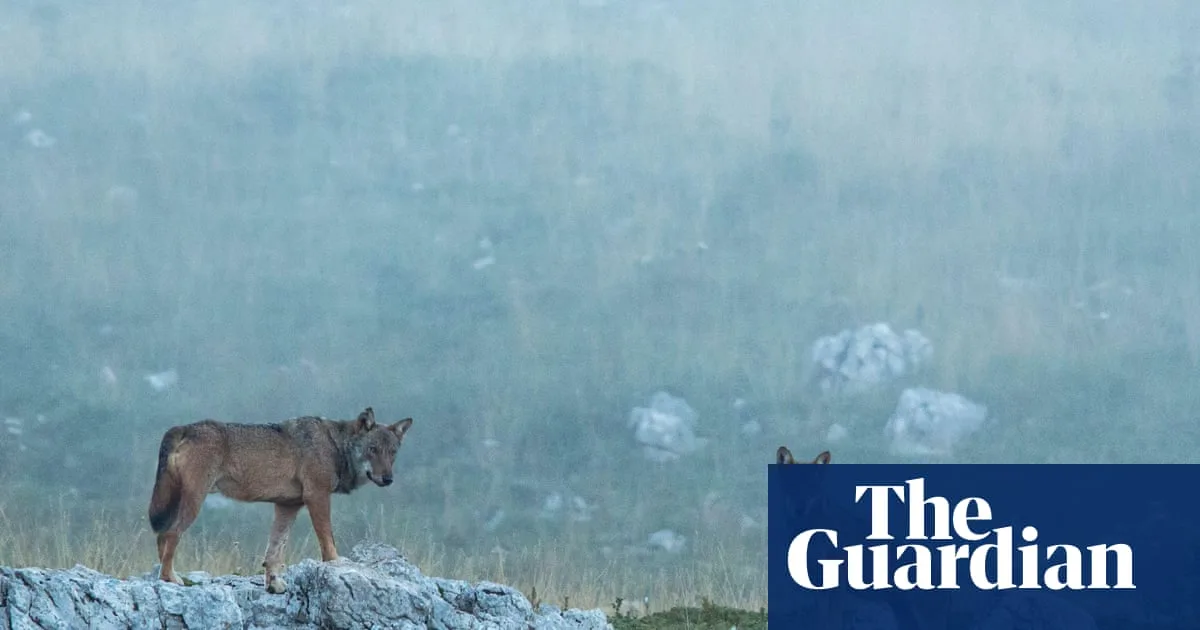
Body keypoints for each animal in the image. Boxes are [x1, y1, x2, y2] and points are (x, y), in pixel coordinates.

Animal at [147, 406, 413, 593]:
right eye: (373, 449)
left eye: (392, 453)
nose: (388, 479)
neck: (335, 445)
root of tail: (184, 427)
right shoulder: (317, 496)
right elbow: (328, 541)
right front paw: (336, 564)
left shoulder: (288, 506)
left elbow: (274, 552)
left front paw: (274, 585)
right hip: (195, 501)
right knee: (170, 534)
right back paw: (170, 578)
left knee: (161, 537)